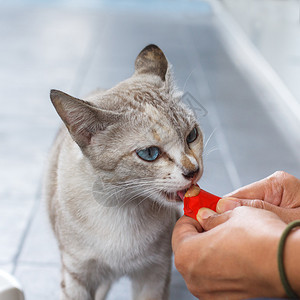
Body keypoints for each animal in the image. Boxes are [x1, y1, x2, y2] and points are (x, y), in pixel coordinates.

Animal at [44, 44, 204, 300]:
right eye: (149, 153)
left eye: (192, 136)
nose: (193, 170)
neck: (121, 206)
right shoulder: (77, 274)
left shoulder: (154, 273)